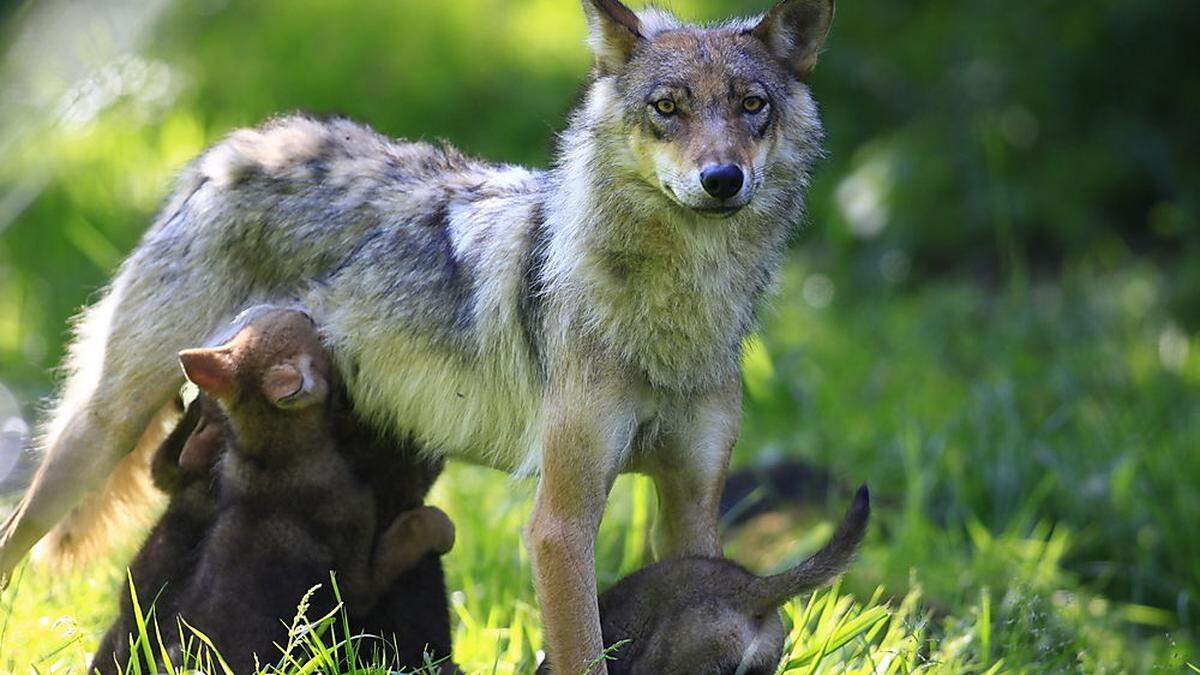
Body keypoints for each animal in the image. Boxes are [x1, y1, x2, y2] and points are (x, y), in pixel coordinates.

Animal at [0, 2, 840, 667]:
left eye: (752, 104)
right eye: (668, 107)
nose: (722, 179)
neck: (674, 312)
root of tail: (238, 147)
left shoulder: (694, 506)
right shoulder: (560, 525)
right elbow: (581, 652)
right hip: (99, 431)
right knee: (18, 529)